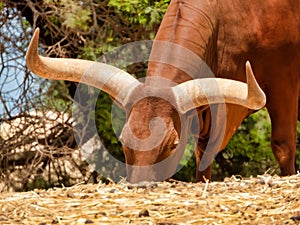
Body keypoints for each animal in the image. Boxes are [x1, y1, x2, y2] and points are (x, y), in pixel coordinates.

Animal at [27, 0, 298, 183]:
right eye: (123, 140)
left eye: (172, 144)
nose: (140, 185)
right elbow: (204, 155)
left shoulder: (284, 81)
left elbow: (283, 145)